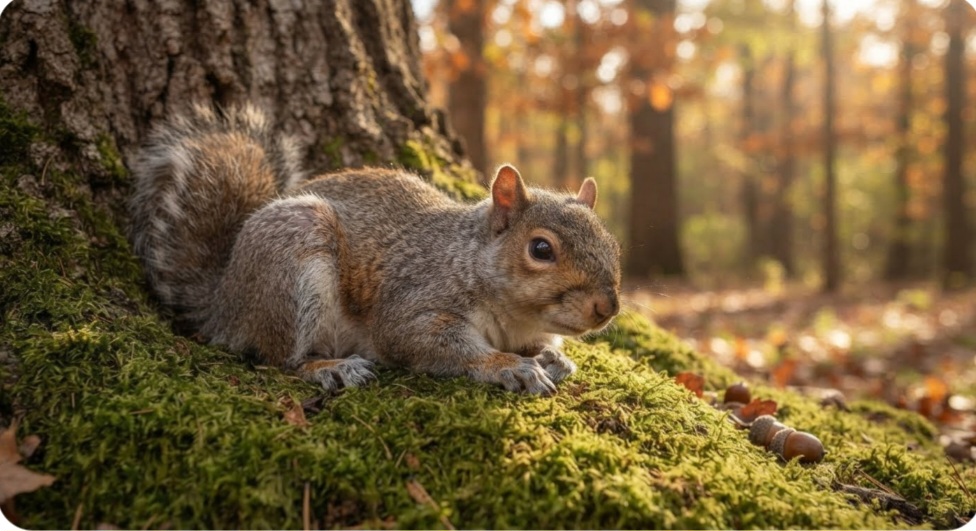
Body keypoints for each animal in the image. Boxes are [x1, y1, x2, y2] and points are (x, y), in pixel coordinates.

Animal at [129, 104, 621, 395]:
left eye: (612, 243)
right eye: (540, 249)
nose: (607, 307)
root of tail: (224, 301)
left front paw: (552, 356)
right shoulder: (415, 303)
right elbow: (425, 342)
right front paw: (508, 366)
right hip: (290, 270)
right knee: (278, 358)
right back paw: (330, 368)